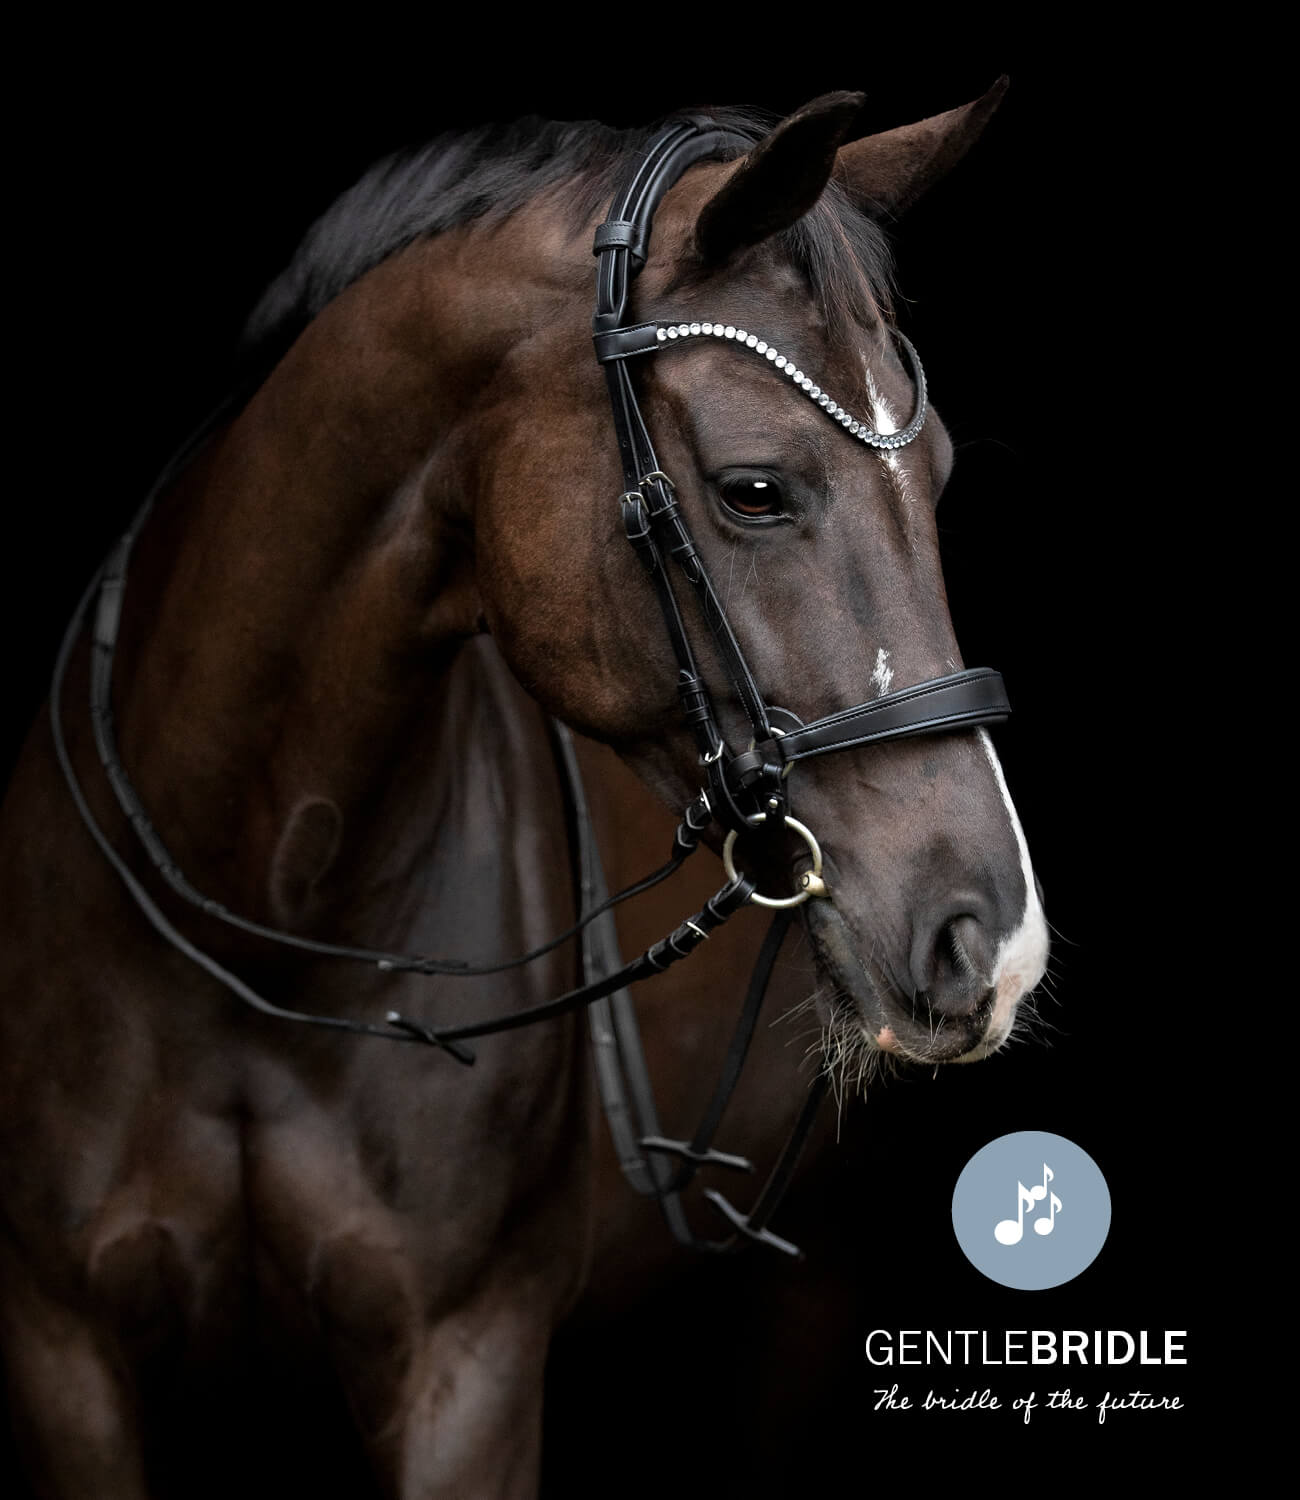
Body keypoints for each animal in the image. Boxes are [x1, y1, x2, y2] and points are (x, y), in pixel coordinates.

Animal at [0, 86, 1048, 1498]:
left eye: (933, 474)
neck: (252, 915)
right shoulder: (67, 1359)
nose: (990, 940)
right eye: (754, 489)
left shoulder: (468, 1368)